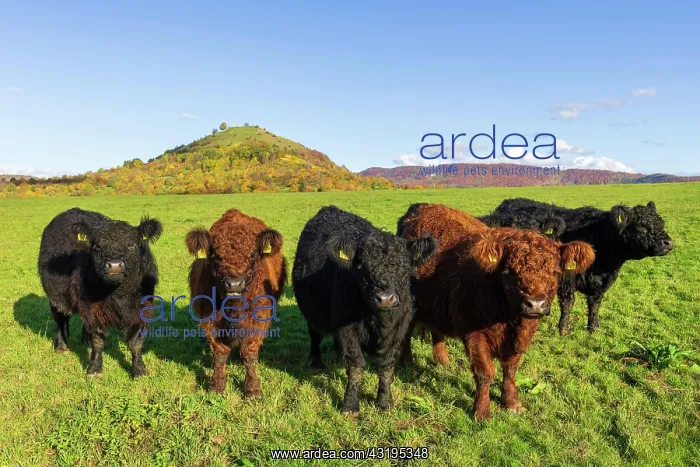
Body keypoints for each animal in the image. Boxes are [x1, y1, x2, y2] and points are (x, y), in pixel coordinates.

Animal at [38, 208, 162, 377]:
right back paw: (62, 346)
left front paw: (139, 369)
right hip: (55, 298)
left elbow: (135, 341)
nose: (115, 265)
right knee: (60, 320)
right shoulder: (91, 307)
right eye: (97, 247)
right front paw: (94, 369)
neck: (118, 294)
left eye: (132, 246)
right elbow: (98, 338)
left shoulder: (143, 308)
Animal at [185, 209, 286, 398]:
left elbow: (249, 354)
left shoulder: (258, 321)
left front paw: (252, 389)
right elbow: (220, 354)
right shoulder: (210, 322)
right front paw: (217, 386)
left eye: (253, 256)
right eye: (216, 256)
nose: (234, 284)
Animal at [292, 206, 437, 415]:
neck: (380, 320)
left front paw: (384, 402)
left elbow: (386, 367)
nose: (385, 299)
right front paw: (350, 405)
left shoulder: (399, 330)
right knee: (315, 335)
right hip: (313, 311)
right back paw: (315, 361)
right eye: (362, 267)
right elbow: (356, 366)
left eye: (403, 265)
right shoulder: (347, 328)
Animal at [398, 203, 595, 421]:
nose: (535, 304)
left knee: (437, 331)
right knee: (406, 333)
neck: (508, 317)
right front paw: (482, 411)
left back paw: (442, 361)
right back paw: (407, 365)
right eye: (509, 272)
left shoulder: (522, 335)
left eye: (555, 272)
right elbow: (485, 373)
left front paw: (512, 403)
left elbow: (510, 369)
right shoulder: (475, 335)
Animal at [488, 198, 673, 333]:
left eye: (661, 223)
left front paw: (593, 328)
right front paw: (564, 330)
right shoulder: (567, 278)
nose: (668, 243)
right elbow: (568, 302)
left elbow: (595, 304)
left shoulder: (602, 283)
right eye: (642, 225)